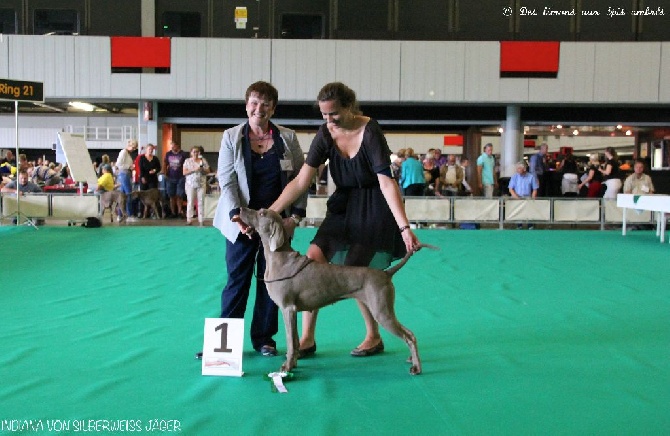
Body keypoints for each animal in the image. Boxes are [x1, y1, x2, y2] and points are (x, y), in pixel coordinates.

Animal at [239, 208, 438, 374]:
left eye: (261, 213)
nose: (241, 209)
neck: (279, 258)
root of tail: (386, 273)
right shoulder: (293, 311)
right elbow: (294, 342)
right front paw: (293, 363)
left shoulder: (288, 308)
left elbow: (290, 342)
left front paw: (287, 367)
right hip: (383, 308)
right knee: (411, 334)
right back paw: (411, 359)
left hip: (382, 311)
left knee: (408, 336)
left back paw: (417, 368)